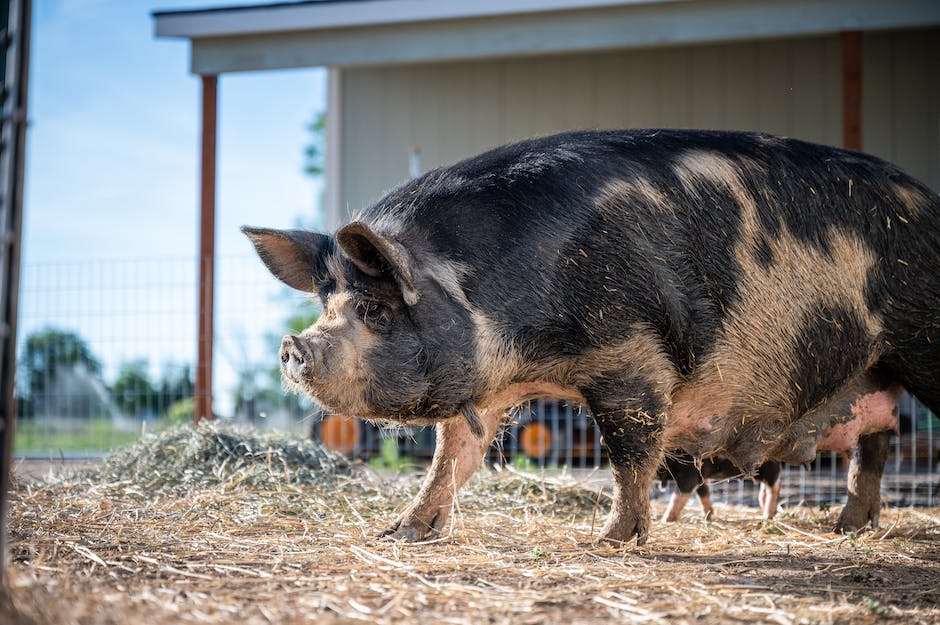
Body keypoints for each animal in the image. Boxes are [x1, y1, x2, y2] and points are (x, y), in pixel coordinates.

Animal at [244, 129, 940, 544]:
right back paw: (847, 528)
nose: (293, 346)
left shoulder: (629, 356)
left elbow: (630, 452)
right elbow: (453, 457)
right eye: (326, 302)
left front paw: (610, 539)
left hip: (921, 340)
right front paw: (401, 533)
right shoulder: (491, 387)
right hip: (871, 374)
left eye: (375, 308)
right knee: (875, 445)